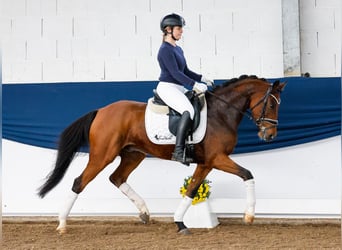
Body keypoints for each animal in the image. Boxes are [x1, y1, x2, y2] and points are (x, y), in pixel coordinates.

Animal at [37, 74, 286, 234]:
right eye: (272, 105)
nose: (270, 135)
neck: (221, 113)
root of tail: (101, 111)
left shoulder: (206, 163)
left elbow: (192, 189)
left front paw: (180, 223)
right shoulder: (217, 159)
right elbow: (247, 174)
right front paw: (249, 215)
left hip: (133, 155)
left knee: (117, 178)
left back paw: (145, 213)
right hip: (102, 155)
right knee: (79, 182)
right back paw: (62, 224)